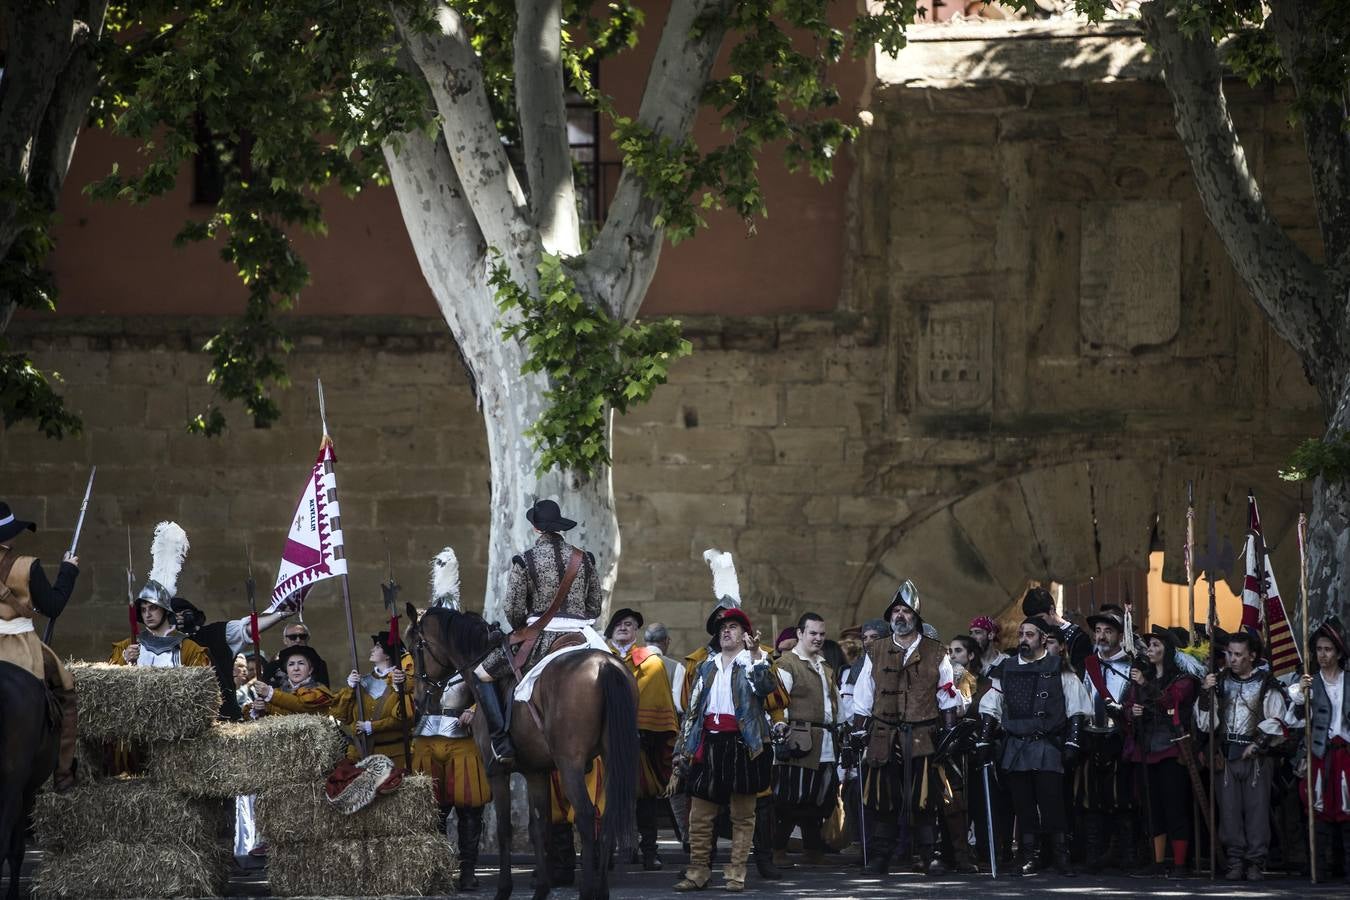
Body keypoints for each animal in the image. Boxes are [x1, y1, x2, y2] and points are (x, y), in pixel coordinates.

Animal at [402, 601, 639, 900]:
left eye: (415, 647)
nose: (420, 699)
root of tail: (604, 664)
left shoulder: (496, 771)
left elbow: (505, 828)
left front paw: (504, 889)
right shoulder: (536, 772)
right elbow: (538, 827)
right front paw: (541, 889)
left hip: (570, 764)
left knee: (586, 816)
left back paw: (588, 890)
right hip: (609, 760)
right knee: (606, 817)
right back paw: (602, 890)